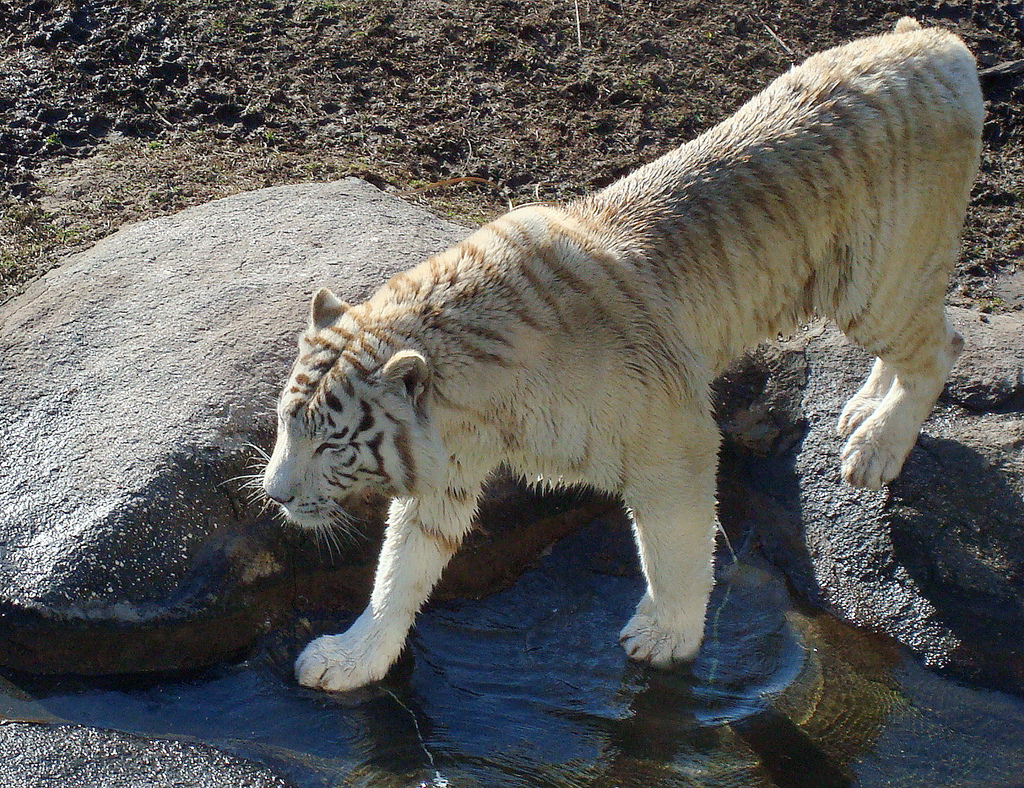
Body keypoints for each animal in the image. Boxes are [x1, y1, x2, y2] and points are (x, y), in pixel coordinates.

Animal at [262, 18, 983, 692]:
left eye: (332, 443)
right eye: (285, 426)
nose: (275, 495)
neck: (474, 402)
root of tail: (935, 40)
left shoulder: (674, 441)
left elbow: (677, 551)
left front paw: (666, 638)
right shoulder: (449, 468)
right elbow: (401, 569)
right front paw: (352, 658)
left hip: (875, 282)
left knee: (941, 344)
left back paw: (875, 449)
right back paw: (862, 409)